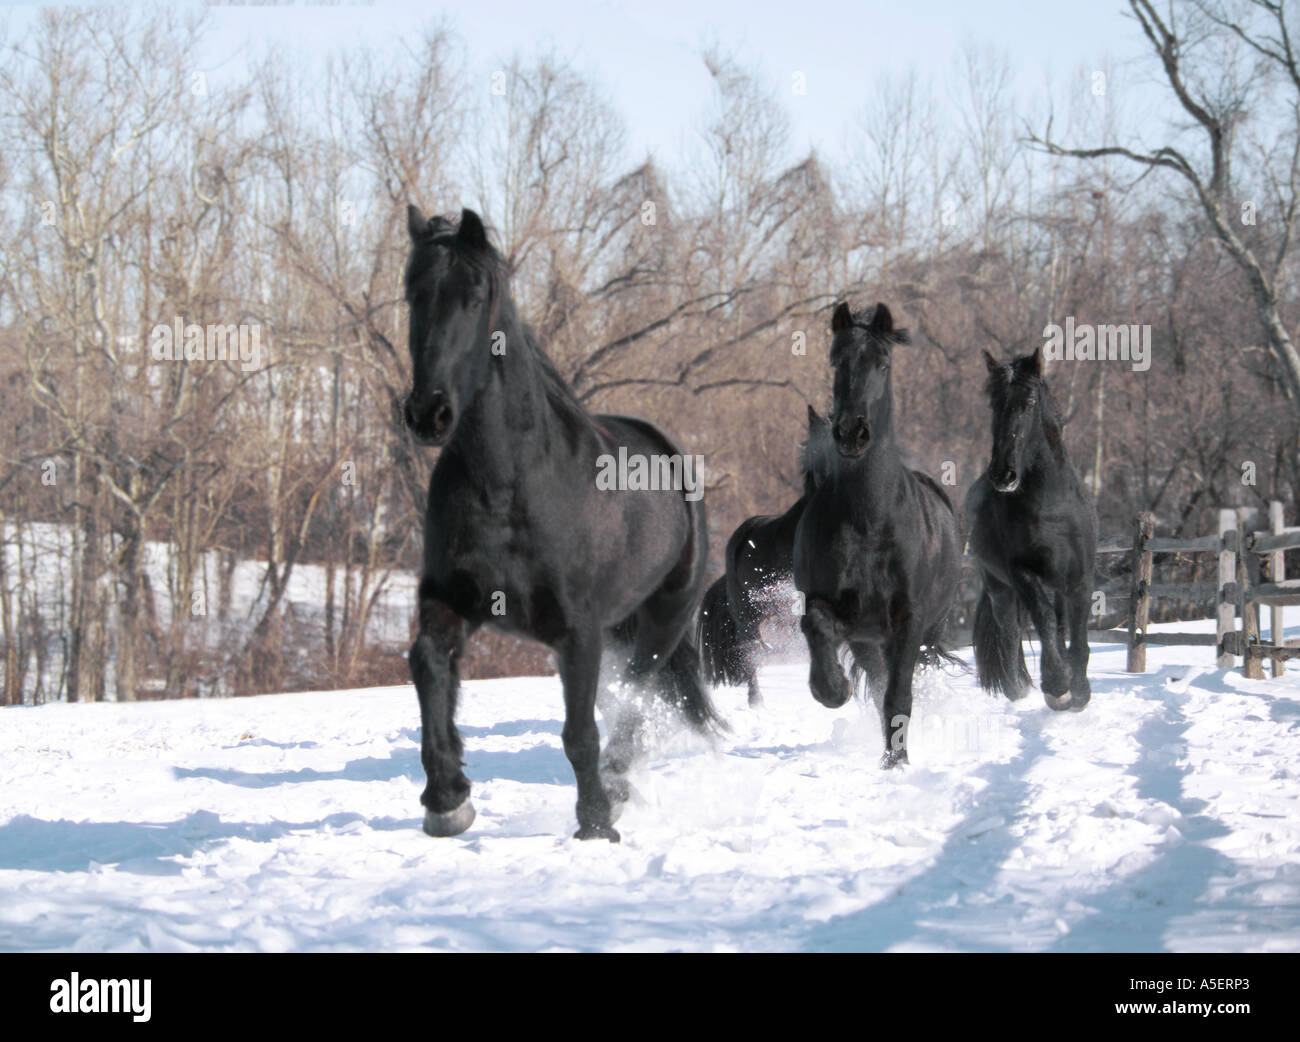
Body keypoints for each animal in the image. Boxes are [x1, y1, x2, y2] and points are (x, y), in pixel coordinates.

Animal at [402, 206, 722, 843]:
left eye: (475, 295)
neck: (509, 484)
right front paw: (448, 800)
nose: (429, 413)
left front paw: (596, 824)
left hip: (662, 623)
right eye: (412, 292)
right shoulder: (450, 601)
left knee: (634, 704)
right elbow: (428, 667)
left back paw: (616, 790)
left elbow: (579, 734)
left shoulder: (578, 632)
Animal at [793, 301, 963, 768]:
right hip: (869, 641)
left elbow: (899, 696)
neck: (869, 522)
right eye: (836, 360)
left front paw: (896, 765)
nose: (852, 433)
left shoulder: (908, 621)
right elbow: (816, 626)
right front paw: (832, 688)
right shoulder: (833, 608)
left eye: (883, 363)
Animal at [966, 347, 1097, 711]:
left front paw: (1079, 691)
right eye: (993, 403)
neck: (1053, 508)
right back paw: (1017, 690)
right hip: (998, 587)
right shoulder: (1022, 574)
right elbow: (1045, 622)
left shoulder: (1080, 578)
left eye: (1029, 402)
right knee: (1010, 633)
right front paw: (1057, 686)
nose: (1003, 475)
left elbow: (1077, 637)